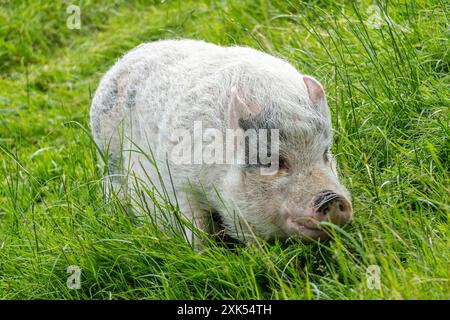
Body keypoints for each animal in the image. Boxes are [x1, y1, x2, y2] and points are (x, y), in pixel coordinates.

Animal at [90, 40, 352, 245]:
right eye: (274, 162)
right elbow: (196, 229)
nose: (332, 198)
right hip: (112, 164)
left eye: (325, 153)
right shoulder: (180, 184)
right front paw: (205, 255)